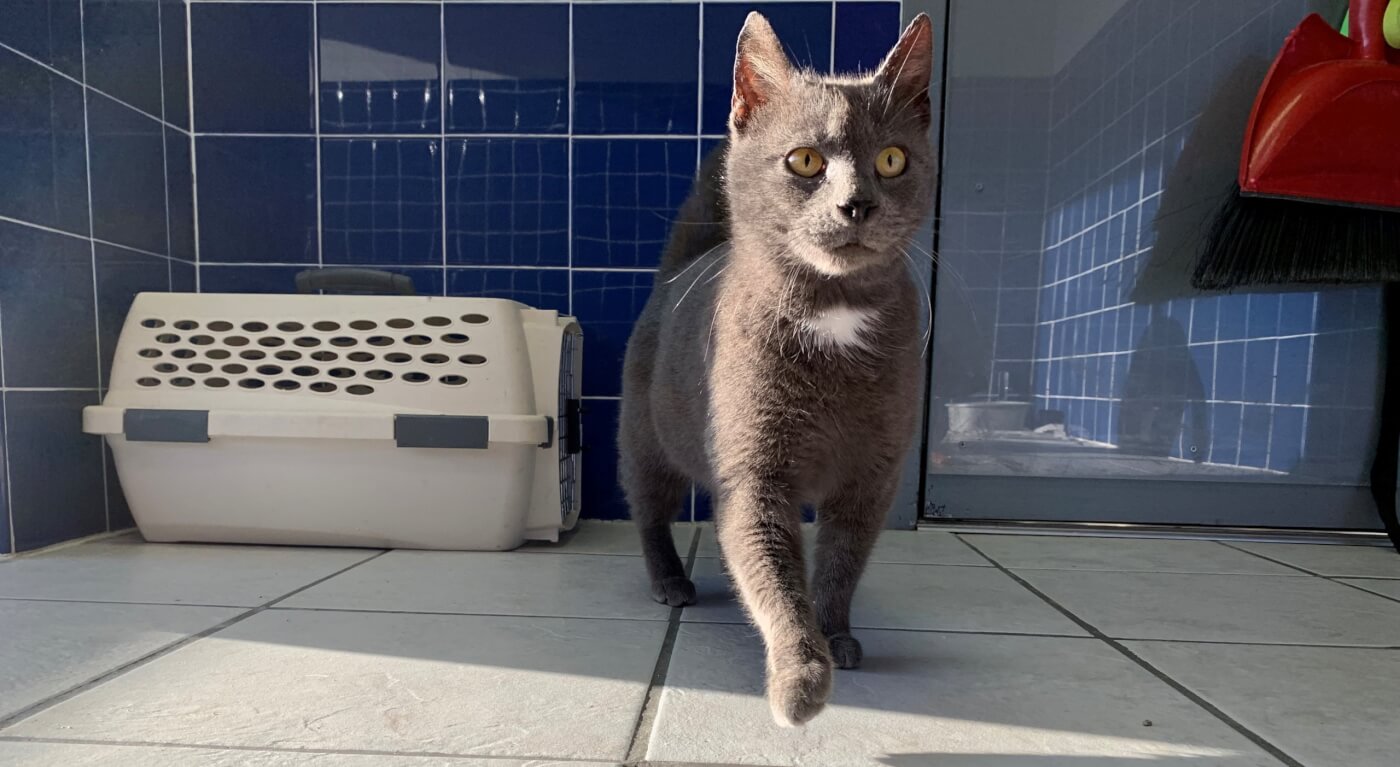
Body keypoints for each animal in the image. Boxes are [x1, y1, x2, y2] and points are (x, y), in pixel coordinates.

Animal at [621, 14, 929, 727]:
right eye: (805, 161)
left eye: (892, 159)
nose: (856, 204)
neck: (834, 319)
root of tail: (682, 266)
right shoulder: (755, 474)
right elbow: (776, 576)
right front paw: (802, 674)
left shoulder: (874, 477)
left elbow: (842, 562)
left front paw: (836, 633)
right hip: (645, 435)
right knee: (648, 506)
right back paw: (669, 581)